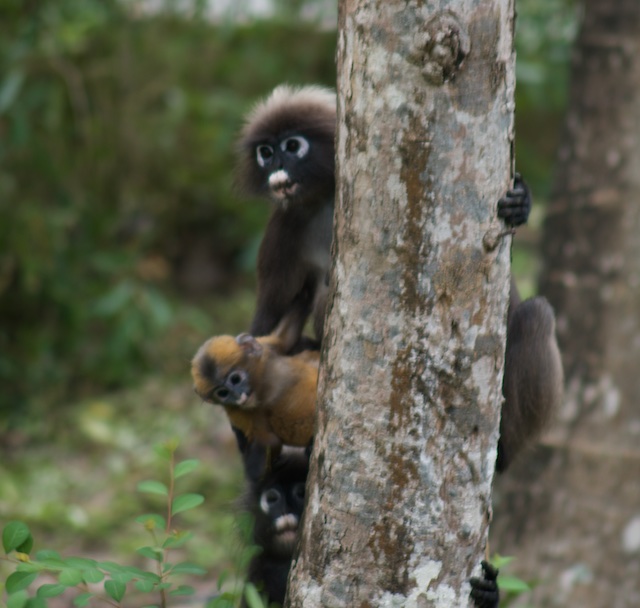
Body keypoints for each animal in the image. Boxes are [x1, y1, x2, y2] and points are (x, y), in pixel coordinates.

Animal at [190, 318, 320, 452]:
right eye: (223, 393)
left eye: (235, 379)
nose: (238, 395)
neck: (262, 389)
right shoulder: (239, 414)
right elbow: (270, 441)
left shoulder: (267, 348)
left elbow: (288, 336)